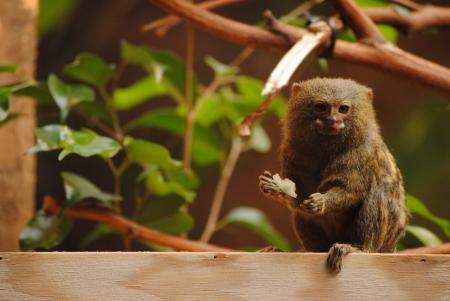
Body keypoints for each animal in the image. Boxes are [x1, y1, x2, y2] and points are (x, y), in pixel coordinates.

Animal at [258, 77, 410, 272]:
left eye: (343, 109)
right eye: (321, 107)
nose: (332, 120)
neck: (326, 148)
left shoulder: (362, 153)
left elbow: (351, 191)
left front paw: (322, 202)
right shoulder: (290, 150)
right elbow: (297, 199)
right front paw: (273, 188)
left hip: (385, 239)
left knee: (378, 194)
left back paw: (359, 248)